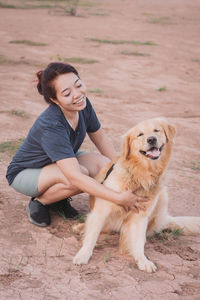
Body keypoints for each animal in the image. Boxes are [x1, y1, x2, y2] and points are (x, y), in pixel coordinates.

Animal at [73, 117, 200, 272]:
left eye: (156, 130)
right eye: (140, 134)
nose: (151, 139)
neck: (142, 173)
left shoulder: (141, 215)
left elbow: (139, 241)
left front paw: (143, 260)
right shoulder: (102, 209)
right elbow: (92, 235)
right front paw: (83, 254)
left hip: (162, 197)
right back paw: (80, 227)